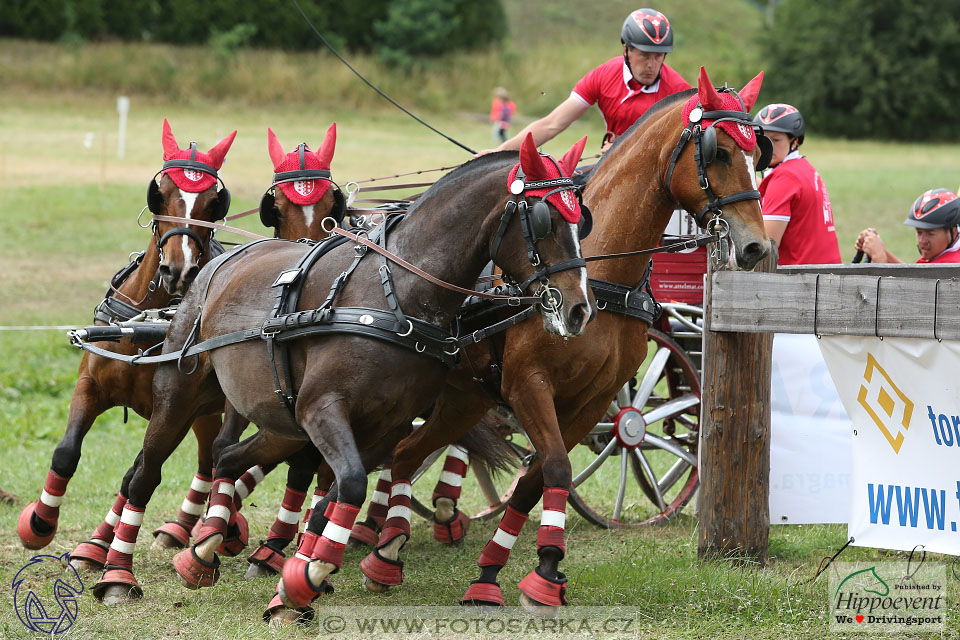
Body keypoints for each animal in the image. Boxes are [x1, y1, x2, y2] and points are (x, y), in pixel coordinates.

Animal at [16, 121, 236, 556]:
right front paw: (41, 524)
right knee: (208, 460)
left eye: (212, 203)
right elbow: (66, 453)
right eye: (160, 193)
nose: (178, 271)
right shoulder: (90, 385)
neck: (148, 322)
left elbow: (140, 474)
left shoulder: (175, 410)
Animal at [92, 132, 600, 608]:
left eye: (583, 218)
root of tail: (217, 262)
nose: (580, 310)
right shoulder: (322, 409)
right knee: (146, 473)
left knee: (228, 458)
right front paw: (306, 576)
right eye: (544, 218)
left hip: (281, 420)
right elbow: (351, 484)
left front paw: (300, 576)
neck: (397, 294)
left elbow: (339, 492)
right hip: (184, 396)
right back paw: (118, 572)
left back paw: (205, 548)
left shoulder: (383, 424)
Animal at [358, 67, 772, 612]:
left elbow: (537, 478)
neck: (597, 273)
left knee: (404, 452)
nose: (756, 246)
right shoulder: (528, 384)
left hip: (462, 398)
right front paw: (541, 573)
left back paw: (382, 548)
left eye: (757, 153)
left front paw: (505, 573)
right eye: (718, 151)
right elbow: (554, 466)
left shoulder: (594, 400)